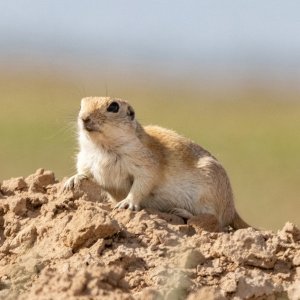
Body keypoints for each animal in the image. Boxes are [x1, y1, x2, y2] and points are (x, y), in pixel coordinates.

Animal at [64, 96, 250, 230]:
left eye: (113, 107)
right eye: (81, 104)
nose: (84, 118)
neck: (102, 148)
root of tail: (232, 209)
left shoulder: (145, 162)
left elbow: (143, 183)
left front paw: (127, 203)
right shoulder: (85, 159)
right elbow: (85, 172)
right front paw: (72, 180)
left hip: (210, 194)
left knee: (216, 220)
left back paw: (181, 212)